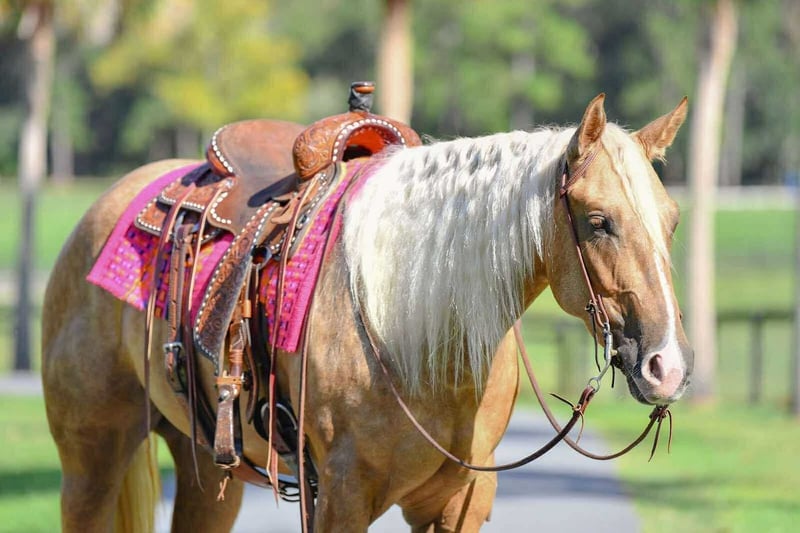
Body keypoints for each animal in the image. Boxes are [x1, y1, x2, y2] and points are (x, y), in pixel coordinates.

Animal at [42, 93, 693, 532]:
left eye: (672, 221)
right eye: (598, 221)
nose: (669, 367)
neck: (419, 336)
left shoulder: (459, 503)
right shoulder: (340, 498)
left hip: (205, 470)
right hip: (91, 460)